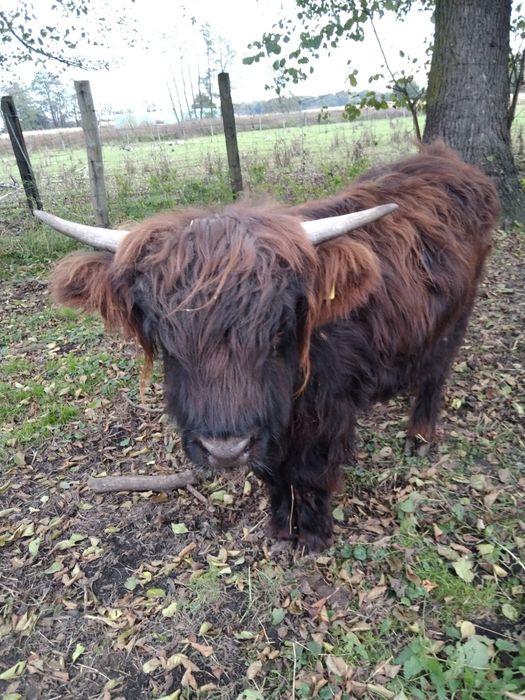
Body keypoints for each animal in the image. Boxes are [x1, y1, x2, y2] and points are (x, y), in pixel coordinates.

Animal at [36, 142, 500, 551]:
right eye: (162, 333)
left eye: (279, 326)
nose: (224, 450)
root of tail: (445, 160)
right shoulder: (267, 427)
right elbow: (276, 476)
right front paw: (280, 529)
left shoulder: (330, 410)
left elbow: (312, 473)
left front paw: (313, 535)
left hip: (459, 311)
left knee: (436, 372)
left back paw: (419, 435)